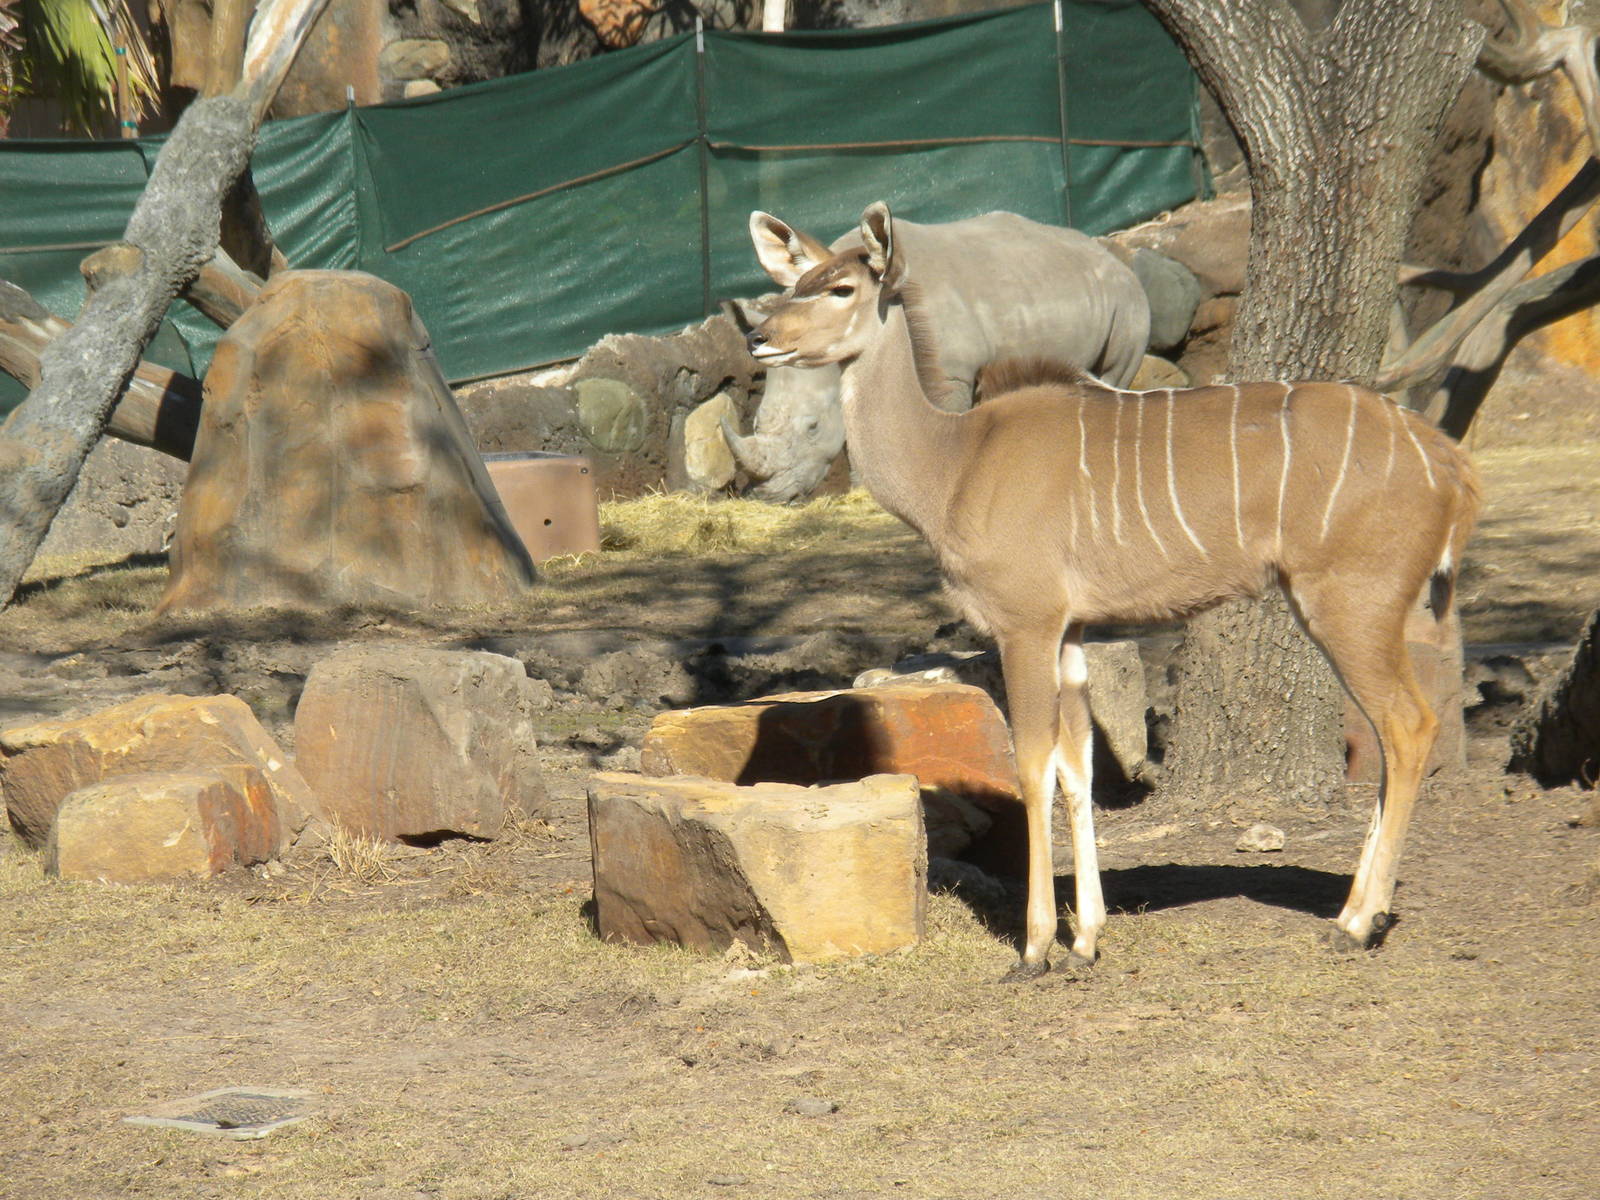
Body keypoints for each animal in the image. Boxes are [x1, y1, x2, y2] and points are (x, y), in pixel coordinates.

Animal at [722, 210, 1151, 502]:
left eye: (812, 428)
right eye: (755, 421)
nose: (769, 497)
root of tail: (1111, 254)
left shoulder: (948, 374)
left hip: (1128, 297)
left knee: (1113, 374)